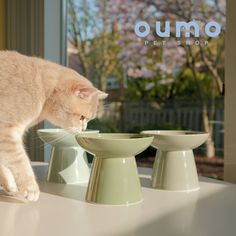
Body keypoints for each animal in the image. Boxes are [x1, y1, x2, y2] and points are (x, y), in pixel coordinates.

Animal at [0, 51, 107, 201]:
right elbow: (20, 161)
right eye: (82, 117)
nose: (84, 129)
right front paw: (30, 187)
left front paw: (10, 186)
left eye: (88, 119)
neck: (41, 88)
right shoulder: (6, 131)